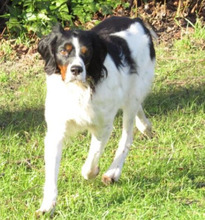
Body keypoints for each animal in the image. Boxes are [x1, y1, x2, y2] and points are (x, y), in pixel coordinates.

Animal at [36, 15, 155, 213]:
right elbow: (51, 174)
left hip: (133, 95)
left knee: (127, 136)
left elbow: (90, 162)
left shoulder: (103, 126)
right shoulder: (56, 130)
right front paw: (47, 206)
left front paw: (94, 172)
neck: (79, 90)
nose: (76, 69)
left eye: (86, 52)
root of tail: (137, 20)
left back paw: (113, 172)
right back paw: (145, 126)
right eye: (63, 51)